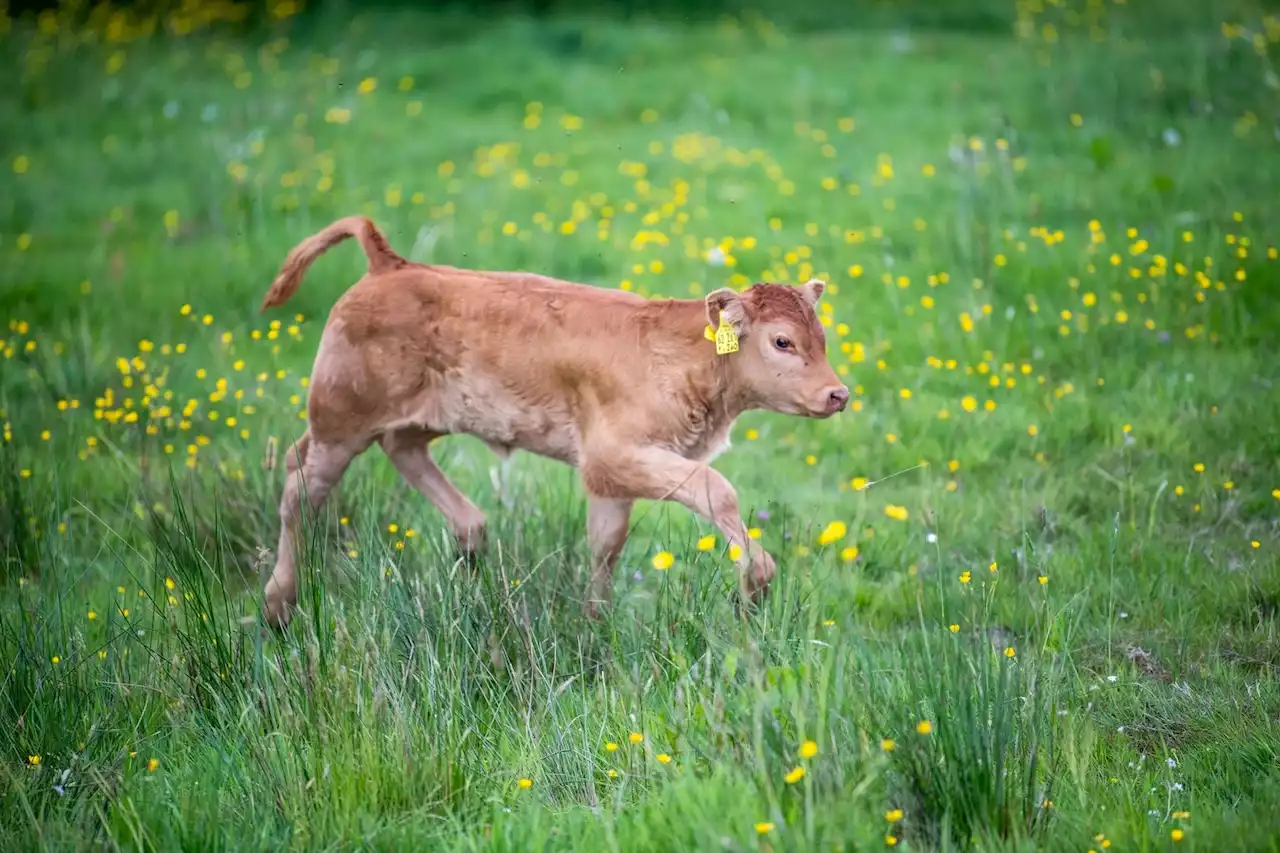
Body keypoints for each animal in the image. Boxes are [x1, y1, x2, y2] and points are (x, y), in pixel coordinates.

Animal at [254, 212, 844, 625]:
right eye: (782, 341)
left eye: (821, 336)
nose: (838, 394)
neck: (683, 355)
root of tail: (390, 264)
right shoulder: (614, 457)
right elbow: (715, 488)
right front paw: (756, 579)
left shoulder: (612, 481)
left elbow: (606, 546)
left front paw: (594, 624)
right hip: (338, 422)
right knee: (299, 489)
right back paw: (279, 605)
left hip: (414, 420)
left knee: (403, 452)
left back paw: (471, 540)